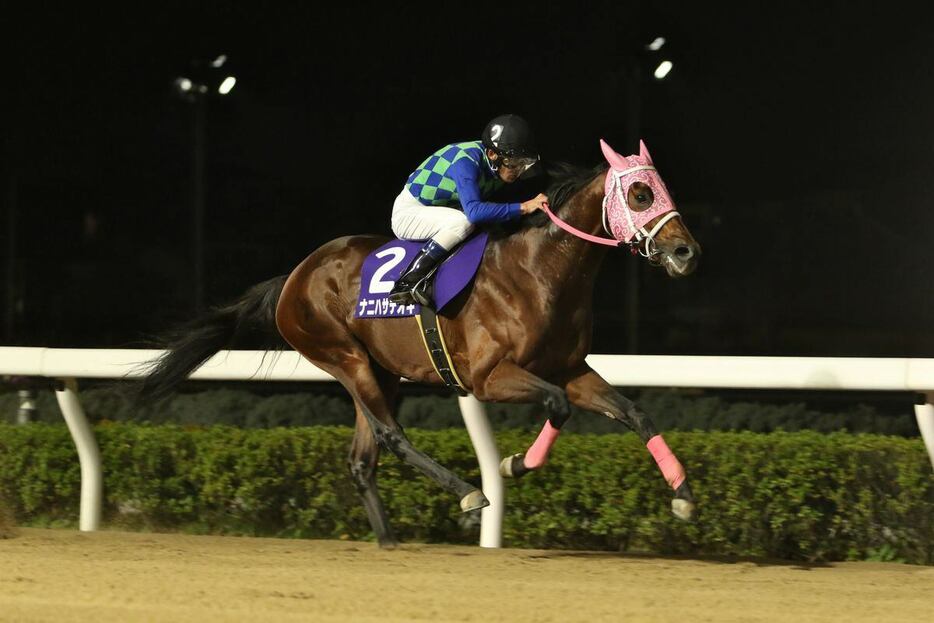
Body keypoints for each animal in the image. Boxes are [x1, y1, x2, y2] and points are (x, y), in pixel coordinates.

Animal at [143, 139, 704, 548]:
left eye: (661, 189)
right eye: (640, 194)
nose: (686, 252)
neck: (539, 271)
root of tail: (294, 278)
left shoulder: (570, 368)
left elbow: (634, 412)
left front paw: (682, 494)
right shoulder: (487, 378)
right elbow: (558, 406)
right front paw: (511, 464)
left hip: (380, 370)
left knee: (362, 456)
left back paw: (389, 540)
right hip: (343, 356)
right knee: (391, 437)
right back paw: (469, 494)